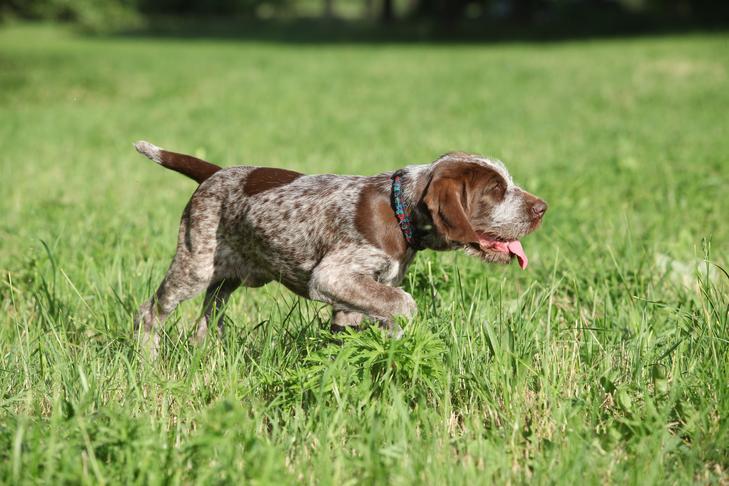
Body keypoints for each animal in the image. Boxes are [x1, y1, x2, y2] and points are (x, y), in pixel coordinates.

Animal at [132, 140, 544, 350]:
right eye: (496, 190)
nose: (542, 208)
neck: (399, 209)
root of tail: (215, 173)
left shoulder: (356, 297)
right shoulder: (332, 277)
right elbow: (404, 304)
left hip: (226, 277)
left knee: (207, 319)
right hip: (194, 266)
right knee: (149, 312)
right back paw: (148, 358)